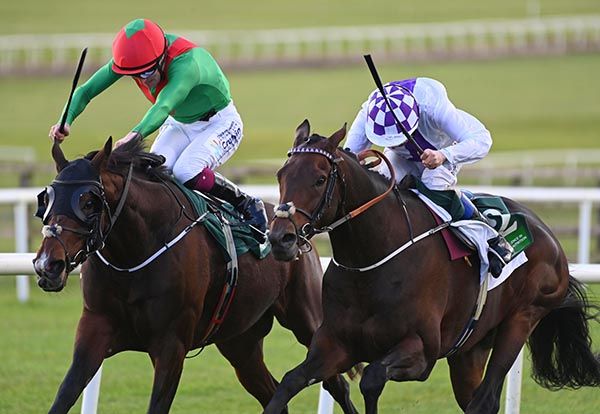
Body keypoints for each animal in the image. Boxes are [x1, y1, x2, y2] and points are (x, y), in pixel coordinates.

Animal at [31, 139, 356, 414]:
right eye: (47, 199)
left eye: (88, 202)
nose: (48, 264)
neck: (133, 255)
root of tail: (293, 229)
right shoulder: (95, 328)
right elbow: (64, 394)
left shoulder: (171, 344)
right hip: (241, 343)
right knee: (273, 393)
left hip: (306, 319)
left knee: (337, 384)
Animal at [266, 118, 600, 412]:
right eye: (281, 175)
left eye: (320, 179)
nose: (281, 239)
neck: (370, 263)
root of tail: (549, 236)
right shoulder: (334, 344)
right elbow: (287, 384)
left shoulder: (421, 351)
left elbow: (372, 380)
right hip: (471, 348)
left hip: (522, 319)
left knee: (485, 399)